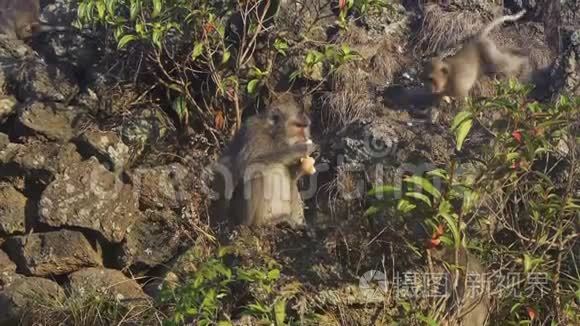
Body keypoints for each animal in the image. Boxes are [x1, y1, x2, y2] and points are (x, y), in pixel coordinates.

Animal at [211, 93, 314, 228]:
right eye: (298, 126)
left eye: (305, 126)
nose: (305, 137)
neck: (274, 136)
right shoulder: (254, 134)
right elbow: (244, 167)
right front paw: (300, 149)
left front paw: (303, 165)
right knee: (257, 175)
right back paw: (260, 223)